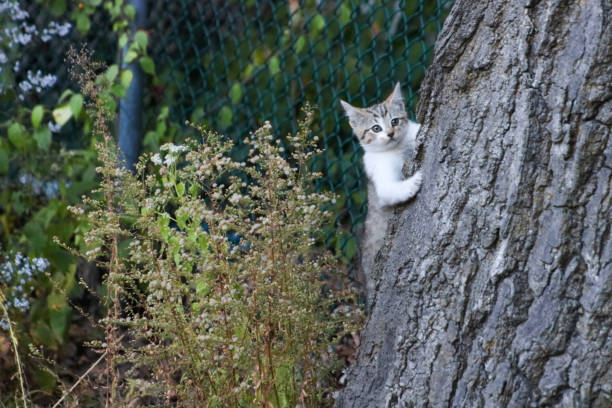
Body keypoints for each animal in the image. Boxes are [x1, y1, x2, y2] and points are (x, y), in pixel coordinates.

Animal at [340, 83, 420, 304]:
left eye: (394, 121)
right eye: (376, 128)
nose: (391, 133)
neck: (399, 148)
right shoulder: (379, 174)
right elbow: (389, 190)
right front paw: (413, 182)